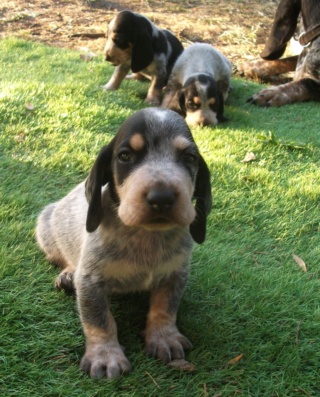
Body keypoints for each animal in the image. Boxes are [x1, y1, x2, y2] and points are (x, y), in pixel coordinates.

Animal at [35, 106, 212, 378]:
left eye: (189, 157)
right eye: (125, 156)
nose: (161, 198)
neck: (146, 236)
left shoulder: (175, 274)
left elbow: (165, 309)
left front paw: (164, 337)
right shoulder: (91, 281)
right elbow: (100, 321)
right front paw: (105, 355)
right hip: (46, 227)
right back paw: (67, 274)